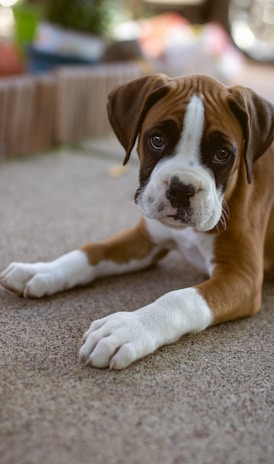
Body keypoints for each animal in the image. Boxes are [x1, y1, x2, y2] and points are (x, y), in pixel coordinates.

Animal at [0, 73, 274, 370]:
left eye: (222, 153)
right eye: (157, 139)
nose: (181, 189)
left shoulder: (242, 277)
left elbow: (181, 298)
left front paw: (127, 329)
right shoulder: (145, 240)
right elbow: (94, 250)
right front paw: (41, 269)